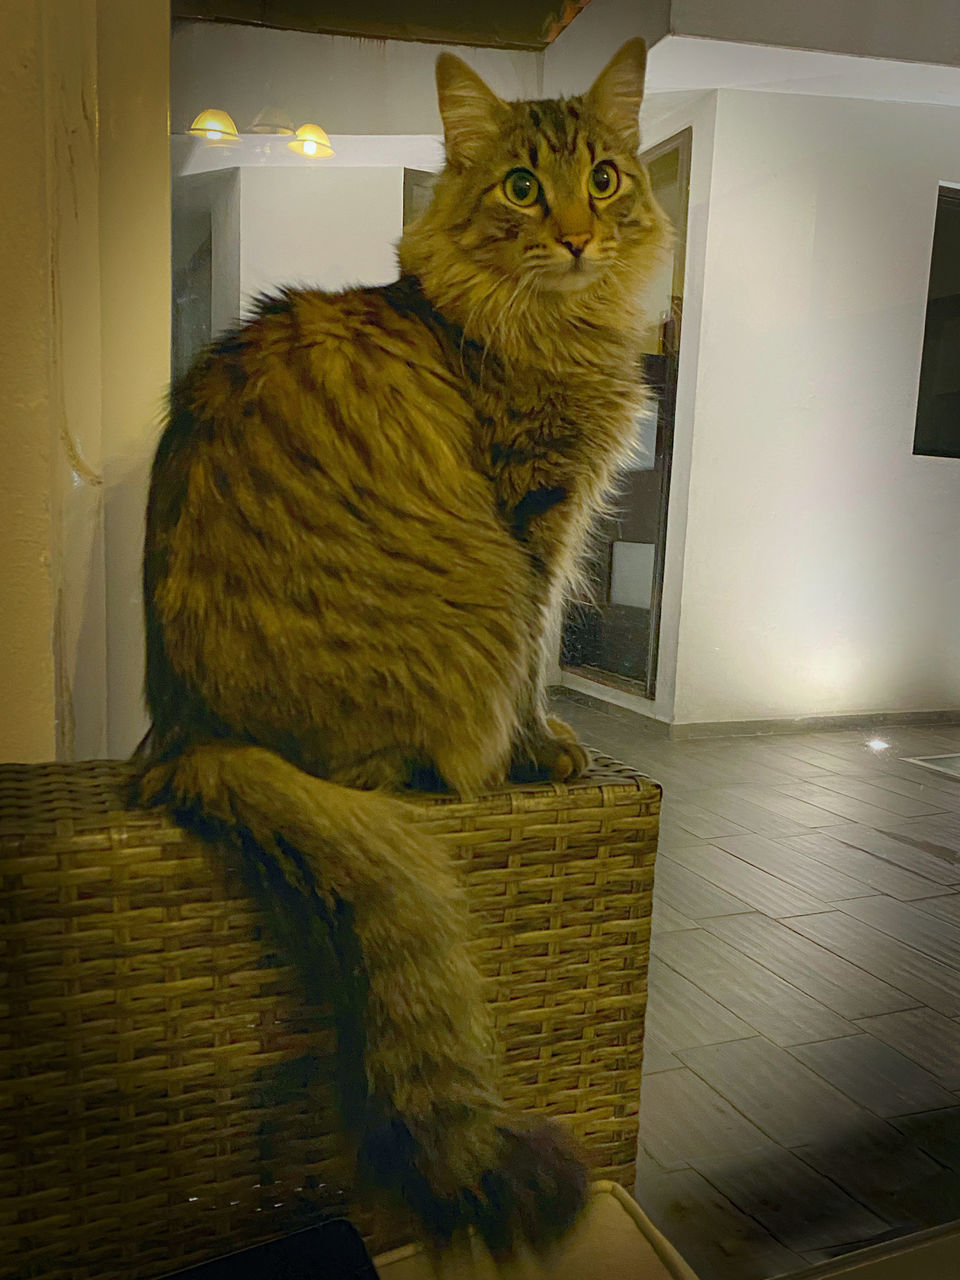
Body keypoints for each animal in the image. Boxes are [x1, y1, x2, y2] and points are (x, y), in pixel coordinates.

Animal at [136, 37, 670, 1249]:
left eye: (603, 178)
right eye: (521, 188)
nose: (579, 234)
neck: (554, 326)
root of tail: (188, 730)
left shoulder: (554, 517)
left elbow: (546, 652)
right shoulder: (531, 518)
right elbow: (532, 660)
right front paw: (542, 754)